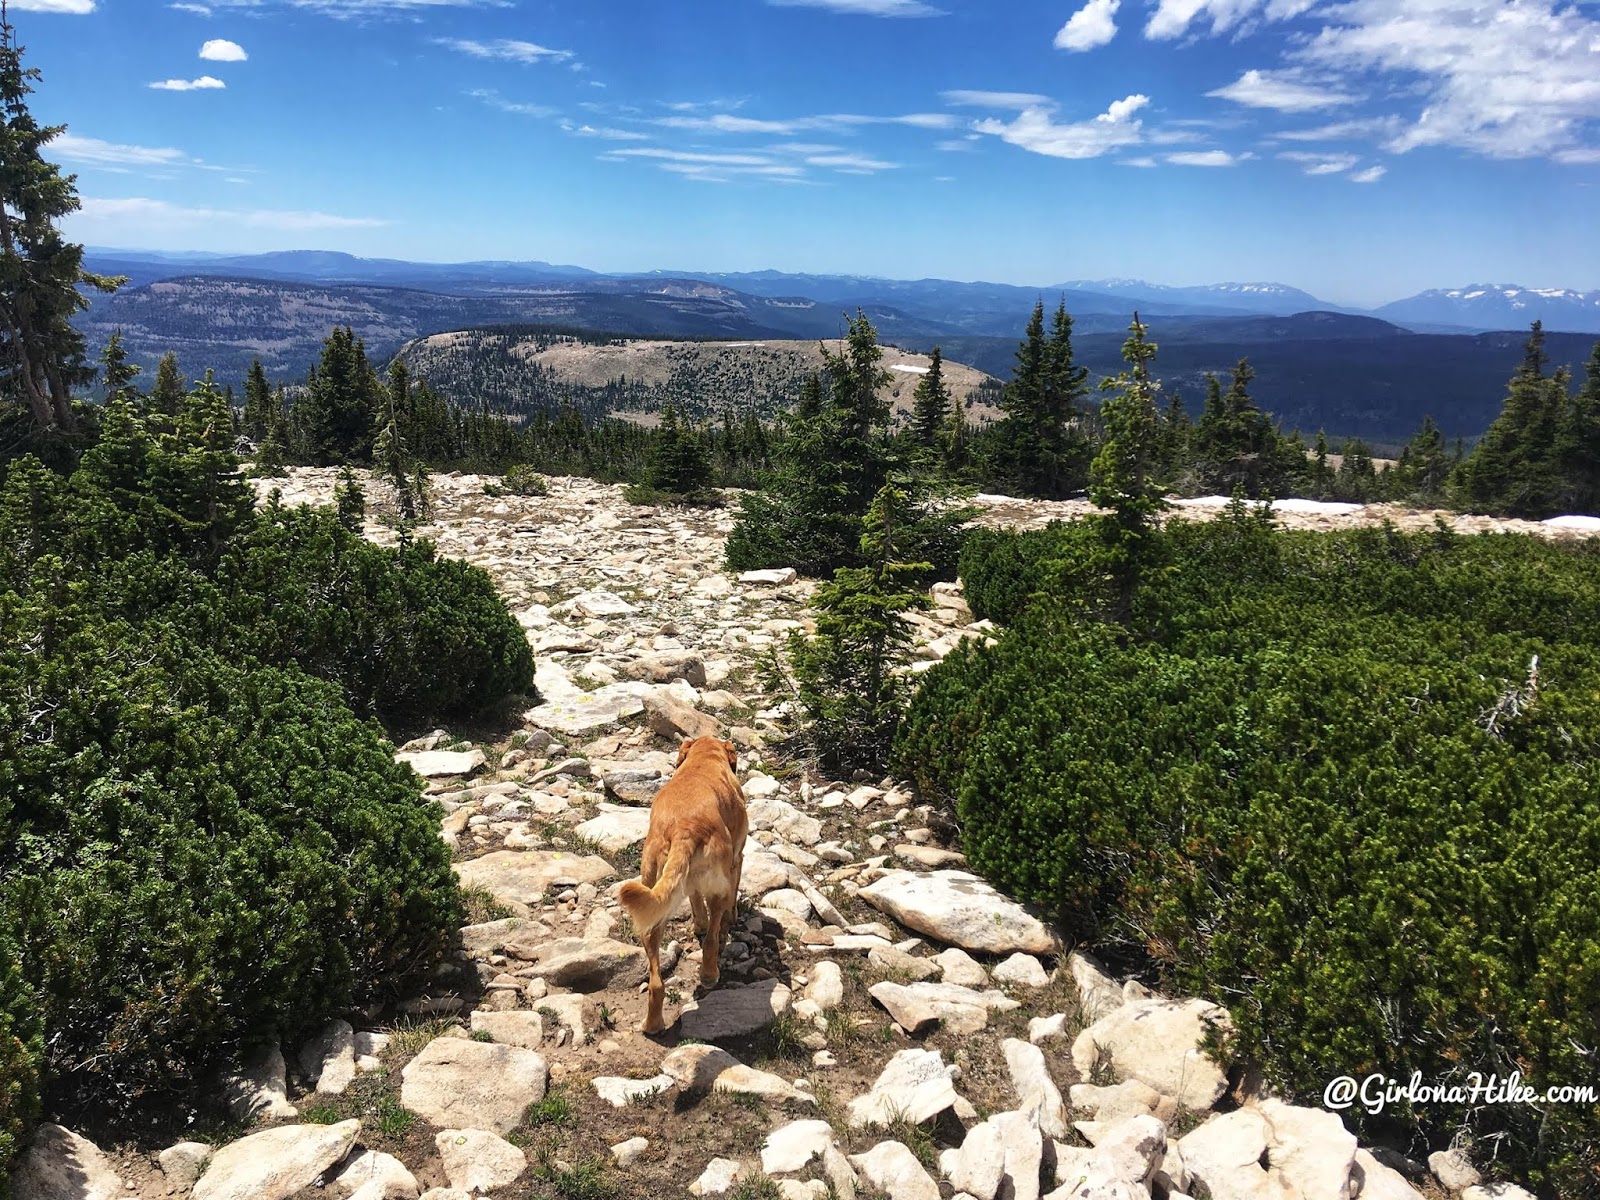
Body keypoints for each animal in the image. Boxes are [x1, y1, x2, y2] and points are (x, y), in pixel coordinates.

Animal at [620, 739, 752, 1036]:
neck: (704, 758)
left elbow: (695, 900)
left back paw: (652, 1024)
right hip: (718, 884)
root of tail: (684, 828)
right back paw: (710, 973)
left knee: (656, 980)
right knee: (712, 939)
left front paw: (698, 924)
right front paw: (730, 921)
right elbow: (727, 907)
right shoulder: (737, 859)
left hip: (652, 897)